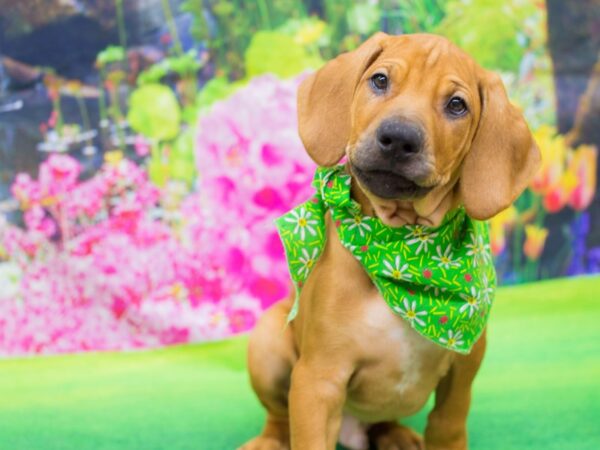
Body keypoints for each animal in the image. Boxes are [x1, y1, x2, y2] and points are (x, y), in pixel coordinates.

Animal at [241, 32, 540, 450]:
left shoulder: (464, 367)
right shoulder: (318, 379)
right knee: (278, 415)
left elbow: (447, 425)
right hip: (267, 342)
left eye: (457, 105)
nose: (399, 138)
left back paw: (393, 434)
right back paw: (269, 440)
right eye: (380, 80)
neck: (401, 245)